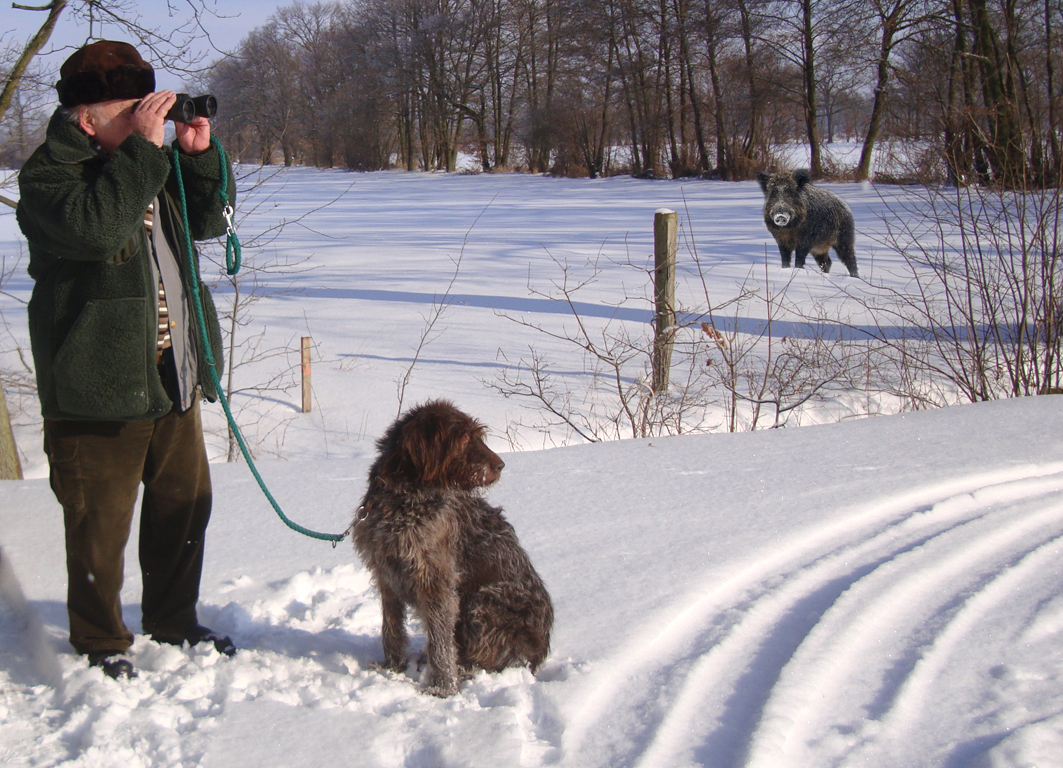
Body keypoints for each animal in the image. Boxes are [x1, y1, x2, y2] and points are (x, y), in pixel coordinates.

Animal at [355, 399, 557, 693]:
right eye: (463, 438)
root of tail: (542, 648)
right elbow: (391, 629)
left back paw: (464, 670)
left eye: (478, 435)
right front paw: (391, 668)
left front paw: (442, 689)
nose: (501, 465)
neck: (404, 500)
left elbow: (440, 642)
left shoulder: (437, 582)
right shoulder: (387, 576)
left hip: (482, 599)